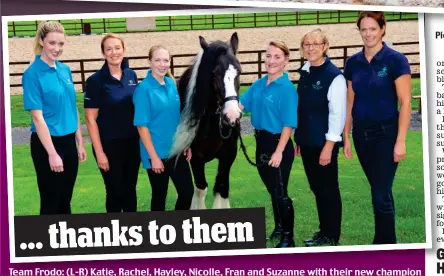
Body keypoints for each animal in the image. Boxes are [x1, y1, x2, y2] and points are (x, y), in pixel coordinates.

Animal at [167, 32, 243, 209]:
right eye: (214, 74)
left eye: (239, 72)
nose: (232, 116)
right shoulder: (196, 159)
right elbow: (201, 190)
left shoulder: (228, 156)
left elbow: (221, 189)